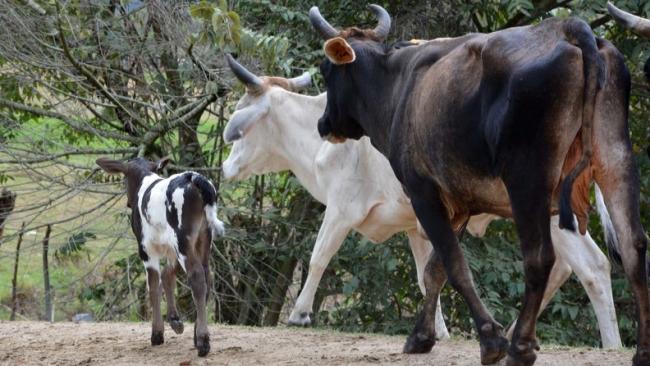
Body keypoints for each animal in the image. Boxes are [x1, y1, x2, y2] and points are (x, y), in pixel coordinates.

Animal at [95, 157, 224, 358]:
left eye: (125, 178)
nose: (129, 203)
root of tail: (192, 176)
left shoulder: (146, 249)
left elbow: (153, 286)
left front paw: (157, 333)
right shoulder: (170, 248)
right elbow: (167, 276)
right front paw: (174, 320)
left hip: (182, 238)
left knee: (196, 277)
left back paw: (203, 341)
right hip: (204, 236)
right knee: (206, 276)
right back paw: (197, 336)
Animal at [220, 55, 620, 348]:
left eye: (241, 121)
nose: (225, 167)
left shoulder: (341, 210)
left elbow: (319, 257)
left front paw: (300, 314)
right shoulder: (417, 225)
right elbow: (428, 274)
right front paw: (438, 331)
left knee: (591, 267)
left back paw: (611, 344)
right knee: (568, 267)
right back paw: (513, 332)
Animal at [310, 5, 648, 366]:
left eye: (326, 70)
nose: (323, 123)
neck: (398, 86)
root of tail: (569, 27)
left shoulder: (424, 194)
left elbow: (454, 266)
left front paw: (490, 339)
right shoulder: (458, 203)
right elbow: (435, 270)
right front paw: (421, 336)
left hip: (527, 180)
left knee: (540, 257)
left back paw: (520, 347)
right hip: (616, 161)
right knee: (634, 246)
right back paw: (642, 351)